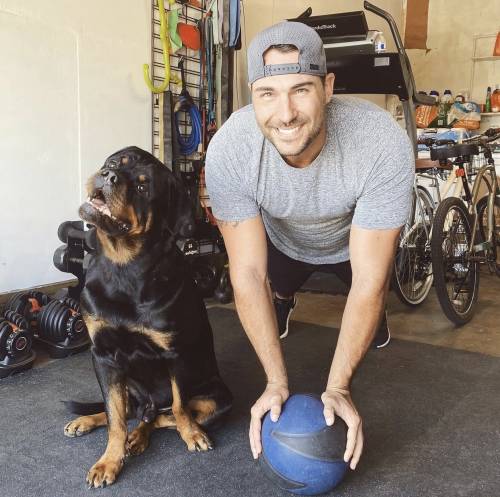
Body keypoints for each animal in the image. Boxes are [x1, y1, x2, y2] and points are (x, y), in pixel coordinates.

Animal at [63, 146, 232, 488]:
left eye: (142, 187)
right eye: (114, 163)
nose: (108, 175)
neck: (123, 264)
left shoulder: (174, 352)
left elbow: (179, 406)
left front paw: (192, 434)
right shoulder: (103, 356)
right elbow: (114, 416)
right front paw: (108, 461)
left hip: (219, 398)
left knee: (161, 415)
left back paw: (142, 436)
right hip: (128, 384)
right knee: (130, 411)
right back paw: (90, 422)